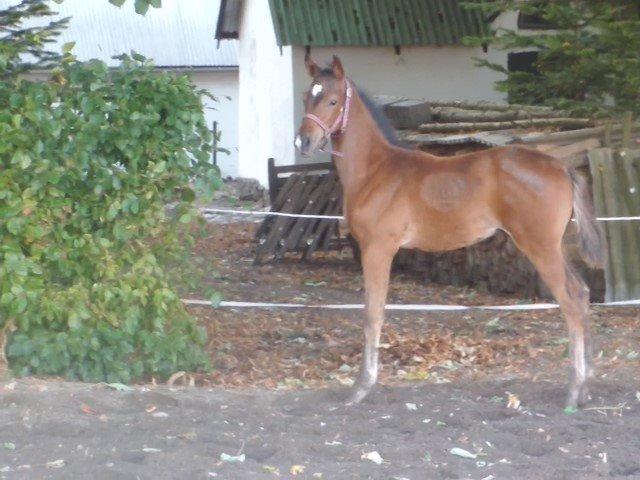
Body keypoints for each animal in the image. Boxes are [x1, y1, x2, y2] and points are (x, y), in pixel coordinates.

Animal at [296, 56, 604, 408]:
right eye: (306, 97)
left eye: (333, 100)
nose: (303, 142)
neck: (377, 170)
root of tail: (561, 167)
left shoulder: (378, 248)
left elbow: (372, 314)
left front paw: (361, 387)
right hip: (555, 247)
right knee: (581, 293)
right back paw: (585, 387)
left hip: (540, 246)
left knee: (570, 301)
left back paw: (574, 391)